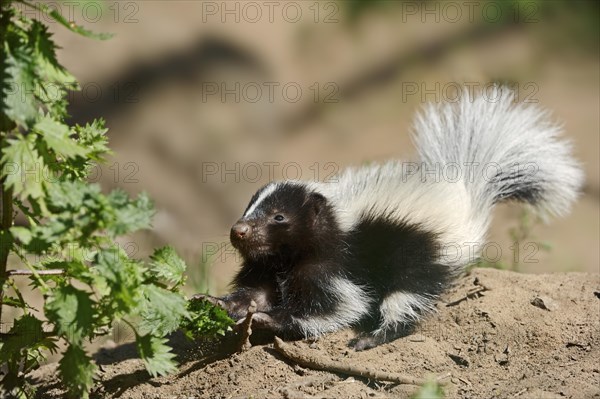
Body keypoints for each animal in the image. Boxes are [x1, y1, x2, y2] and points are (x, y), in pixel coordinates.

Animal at [210, 87, 580, 350]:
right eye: (249, 208)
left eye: (279, 217)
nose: (238, 230)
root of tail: (461, 195)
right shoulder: (268, 265)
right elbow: (256, 291)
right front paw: (221, 303)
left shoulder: (335, 268)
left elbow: (337, 307)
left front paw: (268, 319)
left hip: (418, 258)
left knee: (406, 300)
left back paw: (372, 338)